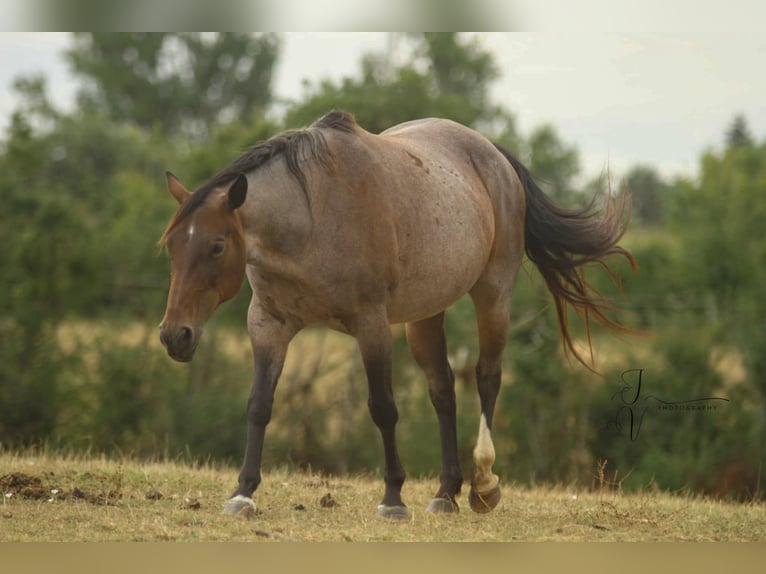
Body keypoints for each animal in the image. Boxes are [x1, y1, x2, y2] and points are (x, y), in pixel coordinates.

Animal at [158, 110, 635, 518]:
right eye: (173, 245)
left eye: (216, 245)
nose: (174, 335)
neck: (312, 217)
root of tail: (493, 154)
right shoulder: (268, 326)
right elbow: (259, 405)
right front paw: (243, 493)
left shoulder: (372, 327)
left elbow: (383, 408)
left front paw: (393, 498)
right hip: (425, 315)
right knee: (443, 390)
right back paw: (446, 493)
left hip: (493, 295)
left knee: (487, 377)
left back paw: (483, 485)